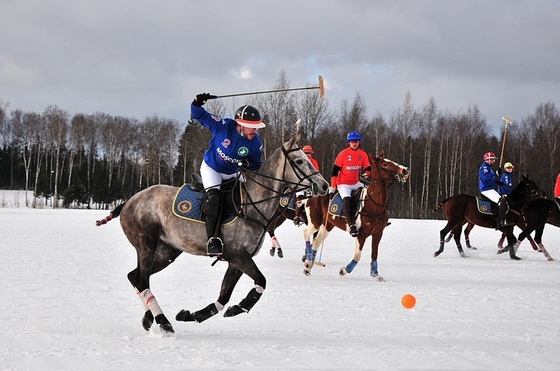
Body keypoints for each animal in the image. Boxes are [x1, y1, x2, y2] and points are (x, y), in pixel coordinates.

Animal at [96, 133, 328, 334]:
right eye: (299, 161)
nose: (324, 185)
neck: (252, 202)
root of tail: (128, 201)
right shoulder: (237, 254)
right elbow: (261, 281)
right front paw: (240, 306)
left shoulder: (237, 259)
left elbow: (224, 296)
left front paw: (192, 314)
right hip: (146, 243)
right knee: (141, 279)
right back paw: (163, 322)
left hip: (167, 251)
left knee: (135, 276)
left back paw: (148, 318)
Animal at [300, 151, 410, 282]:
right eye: (385, 164)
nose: (405, 170)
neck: (374, 205)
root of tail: (310, 198)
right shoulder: (361, 234)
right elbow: (358, 256)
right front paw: (343, 270)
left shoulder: (378, 233)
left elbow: (374, 254)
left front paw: (375, 274)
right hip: (315, 222)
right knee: (306, 233)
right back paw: (307, 261)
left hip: (327, 225)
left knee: (316, 242)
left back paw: (308, 266)